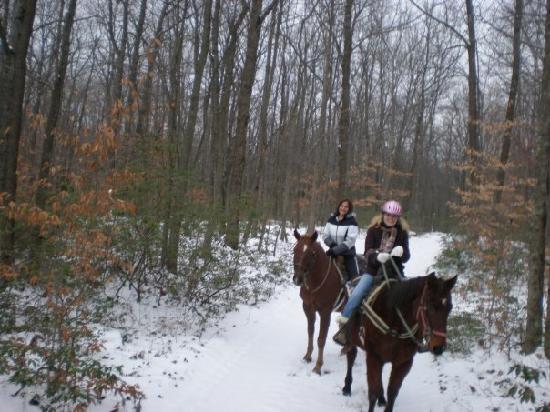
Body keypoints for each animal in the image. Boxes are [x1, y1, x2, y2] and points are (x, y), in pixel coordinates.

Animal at [294, 230, 344, 374]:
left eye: (311, 253)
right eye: (294, 250)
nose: (297, 279)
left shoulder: (325, 312)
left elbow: (321, 339)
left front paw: (318, 366)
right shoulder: (307, 308)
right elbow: (310, 332)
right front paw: (308, 356)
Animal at [344, 272, 458, 410]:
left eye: (450, 308)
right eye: (430, 306)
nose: (438, 348)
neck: (395, 321)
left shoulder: (403, 363)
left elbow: (392, 393)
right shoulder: (373, 357)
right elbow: (373, 393)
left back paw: (381, 399)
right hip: (351, 339)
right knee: (351, 357)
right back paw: (347, 387)